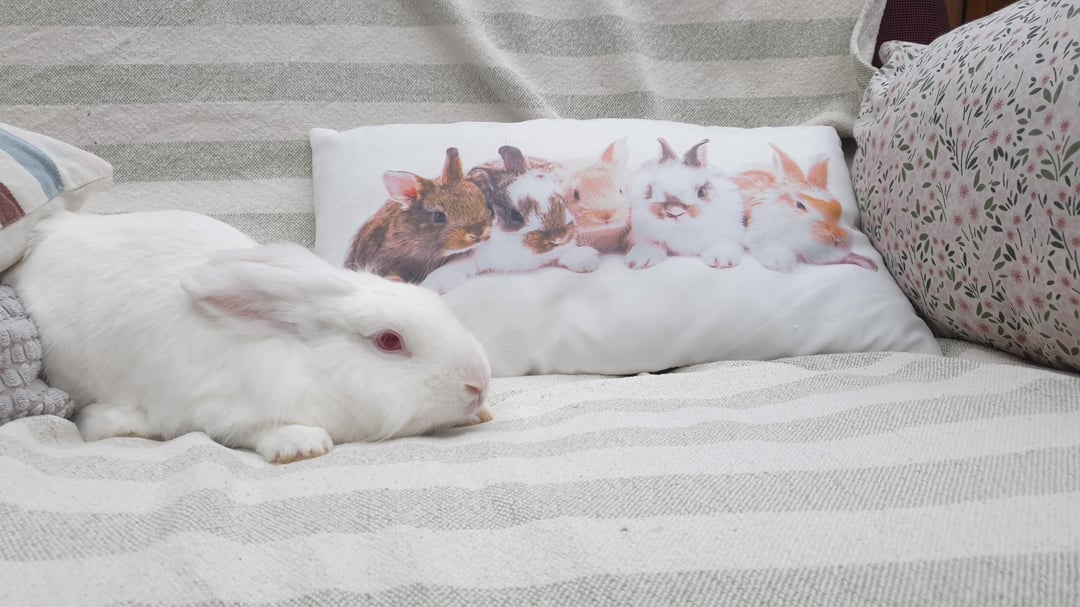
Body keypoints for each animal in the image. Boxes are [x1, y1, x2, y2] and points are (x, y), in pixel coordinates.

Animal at [2, 209, 494, 464]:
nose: (479, 384)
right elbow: (256, 431)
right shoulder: (219, 408)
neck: (309, 368)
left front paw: (479, 415)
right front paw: (302, 445)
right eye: (389, 341)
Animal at [421, 145, 601, 294]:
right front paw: (432, 287)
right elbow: (456, 266)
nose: (559, 237)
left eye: (562, 200)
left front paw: (586, 261)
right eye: (515, 215)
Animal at [624, 138, 745, 270]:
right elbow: (649, 243)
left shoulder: (727, 230)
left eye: (701, 192)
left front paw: (722, 260)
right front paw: (640, 259)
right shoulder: (641, 233)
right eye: (650, 191)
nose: (675, 211)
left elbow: (721, 243)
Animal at [731, 143, 879, 273]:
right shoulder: (757, 235)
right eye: (800, 205)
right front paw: (781, 262)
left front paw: (866, 262)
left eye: (838, 207)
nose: (837, 238)